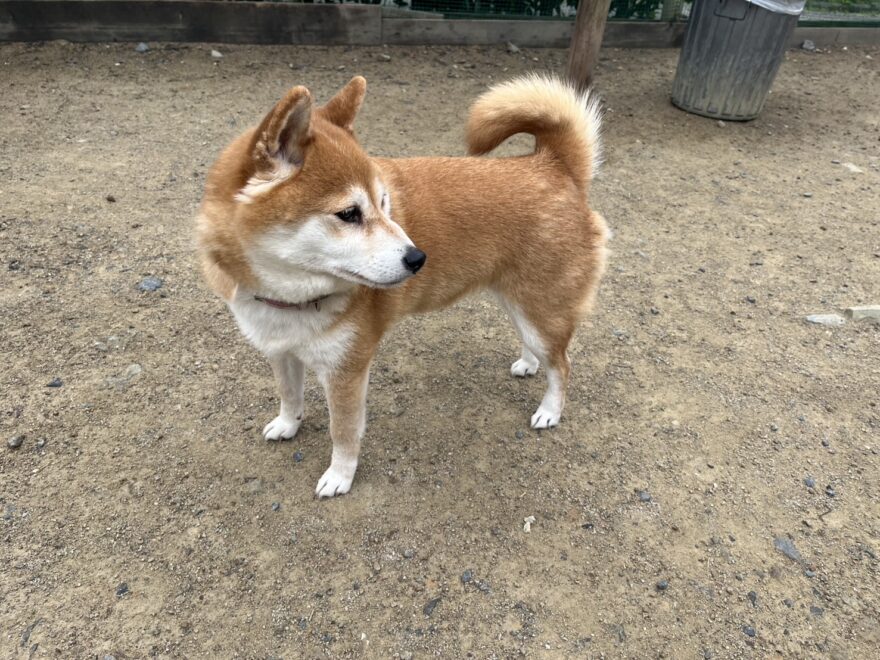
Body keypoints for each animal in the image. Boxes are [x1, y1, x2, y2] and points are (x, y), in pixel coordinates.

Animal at [196, 74, 608, 497]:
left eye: (384, 203)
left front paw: (340, 476)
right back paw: (528, 363)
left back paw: (549, 411)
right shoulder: (280, 352)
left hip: (542, 310)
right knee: (537, 347)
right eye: (349, 214)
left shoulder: (346, 372)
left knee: (561, 365)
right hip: (519, 302)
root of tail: (553, 164)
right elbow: (289, 395)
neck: (290, 299)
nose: (418, 258)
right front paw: (288, 424)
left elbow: (343, 432)